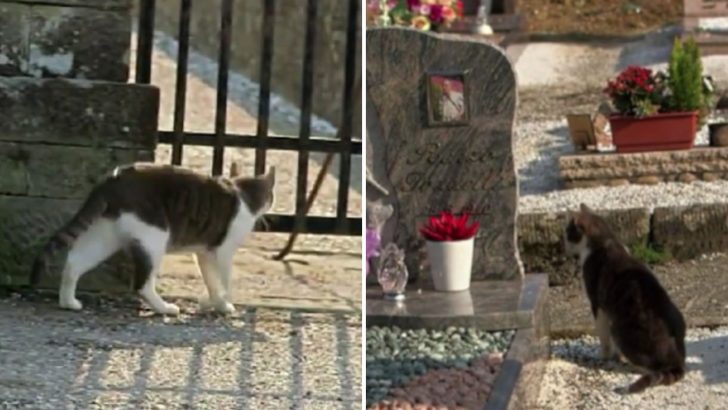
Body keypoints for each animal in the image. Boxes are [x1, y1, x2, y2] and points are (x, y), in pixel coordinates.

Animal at [30, 162, 276, 316]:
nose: (271, 204)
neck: (242, 191)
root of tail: (114, 177)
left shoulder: (204, 251)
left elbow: (211, 280)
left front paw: (216, 303)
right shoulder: (223, 250)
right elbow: (226, 280)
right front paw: (222, 303)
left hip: (106, 235)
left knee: (74, 262)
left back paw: (68, 302)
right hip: (154, 234)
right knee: (142, 284)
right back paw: (164, 308)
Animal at [564, 204, 688, 394]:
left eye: (567, 232)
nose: (563, 245)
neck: (606, 240)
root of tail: (677, 362)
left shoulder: (597, 305)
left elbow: (603, 337)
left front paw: (605, 356)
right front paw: (614, 356)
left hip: (621, 330)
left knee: (650, 368)